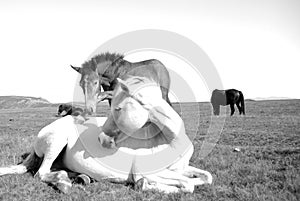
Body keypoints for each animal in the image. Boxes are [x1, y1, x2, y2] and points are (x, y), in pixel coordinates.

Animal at [0, 76, 212, 193]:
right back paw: (64, 181)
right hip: (56, 142)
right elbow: (187, 184)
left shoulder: (178, 170)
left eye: (117, 108)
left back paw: (78, 177)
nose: (102, 139)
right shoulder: (149, 171)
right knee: (42, 173)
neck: (171, 141)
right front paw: (143, 185)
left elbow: (205, 177)